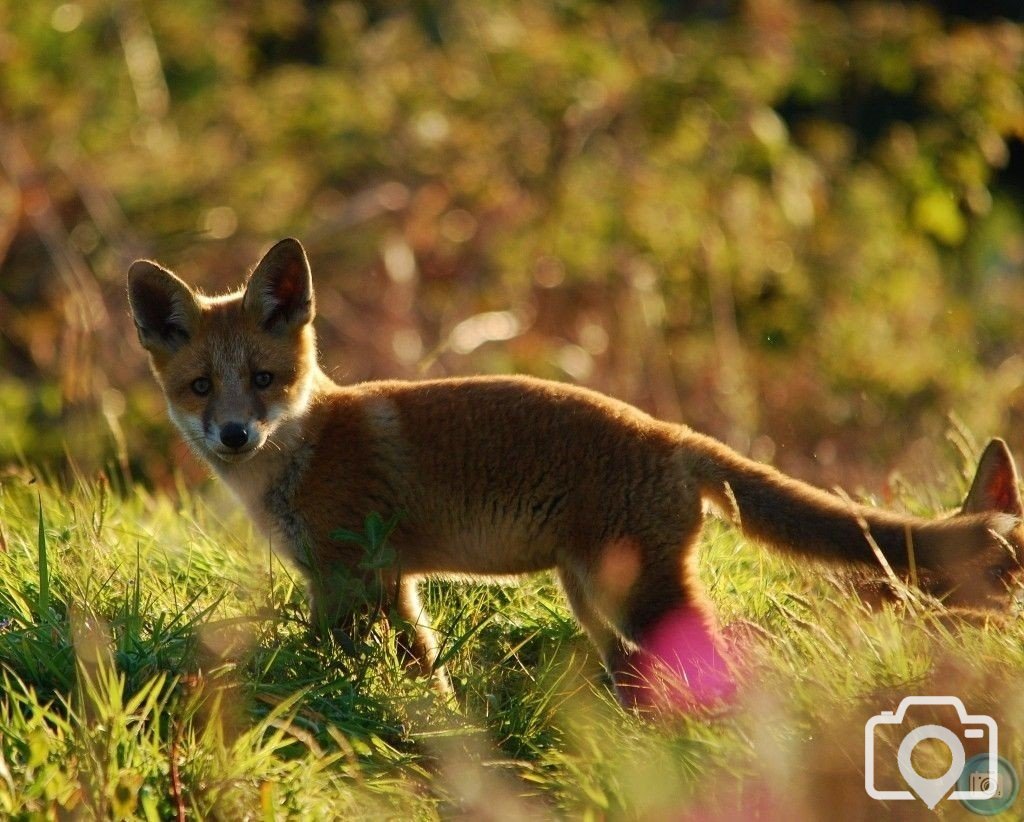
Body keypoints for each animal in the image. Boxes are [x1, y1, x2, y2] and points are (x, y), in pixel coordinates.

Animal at [128, 236, 1024, 708]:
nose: (235, 434)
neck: (306, 448)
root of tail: (670, 432)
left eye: (265, 379)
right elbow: (420, 666)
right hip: (596, 601)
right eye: (202, 387)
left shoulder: (349, 577)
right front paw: (431, 723)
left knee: (722, 662)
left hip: (637, 597)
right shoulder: (388, 581)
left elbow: (333, 661)